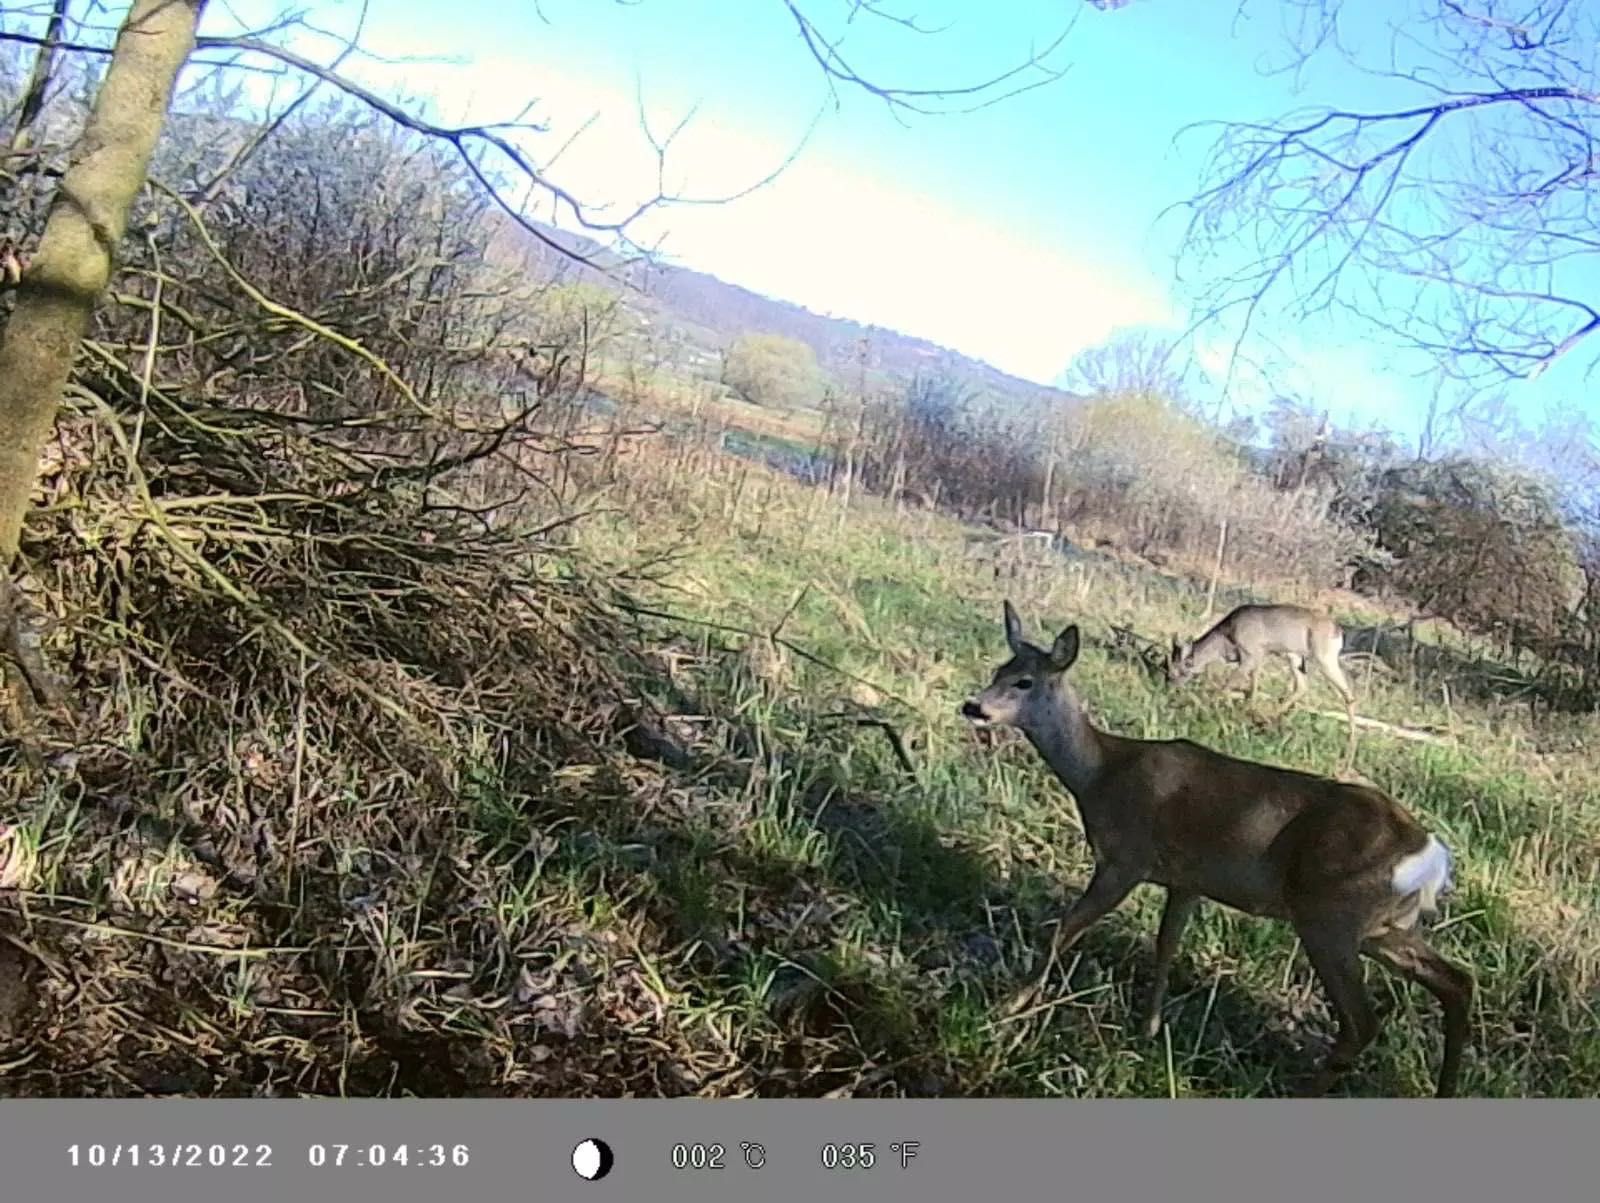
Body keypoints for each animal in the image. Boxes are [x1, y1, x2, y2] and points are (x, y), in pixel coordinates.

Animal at [1171, 601, 1356, 771]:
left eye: (1178, 669)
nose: (1171, 684)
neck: (1226, 637)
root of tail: (1339, 631)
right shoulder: (1259, 656)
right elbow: (1253, 686)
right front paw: (1246, 711)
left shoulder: (1249, 654)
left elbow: (1229, 684)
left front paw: (1205, 708)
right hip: (1295, 656)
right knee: (1302, 687)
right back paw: (1270, 719)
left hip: (1324, 658)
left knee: (1348, 695)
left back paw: (1348, 756)